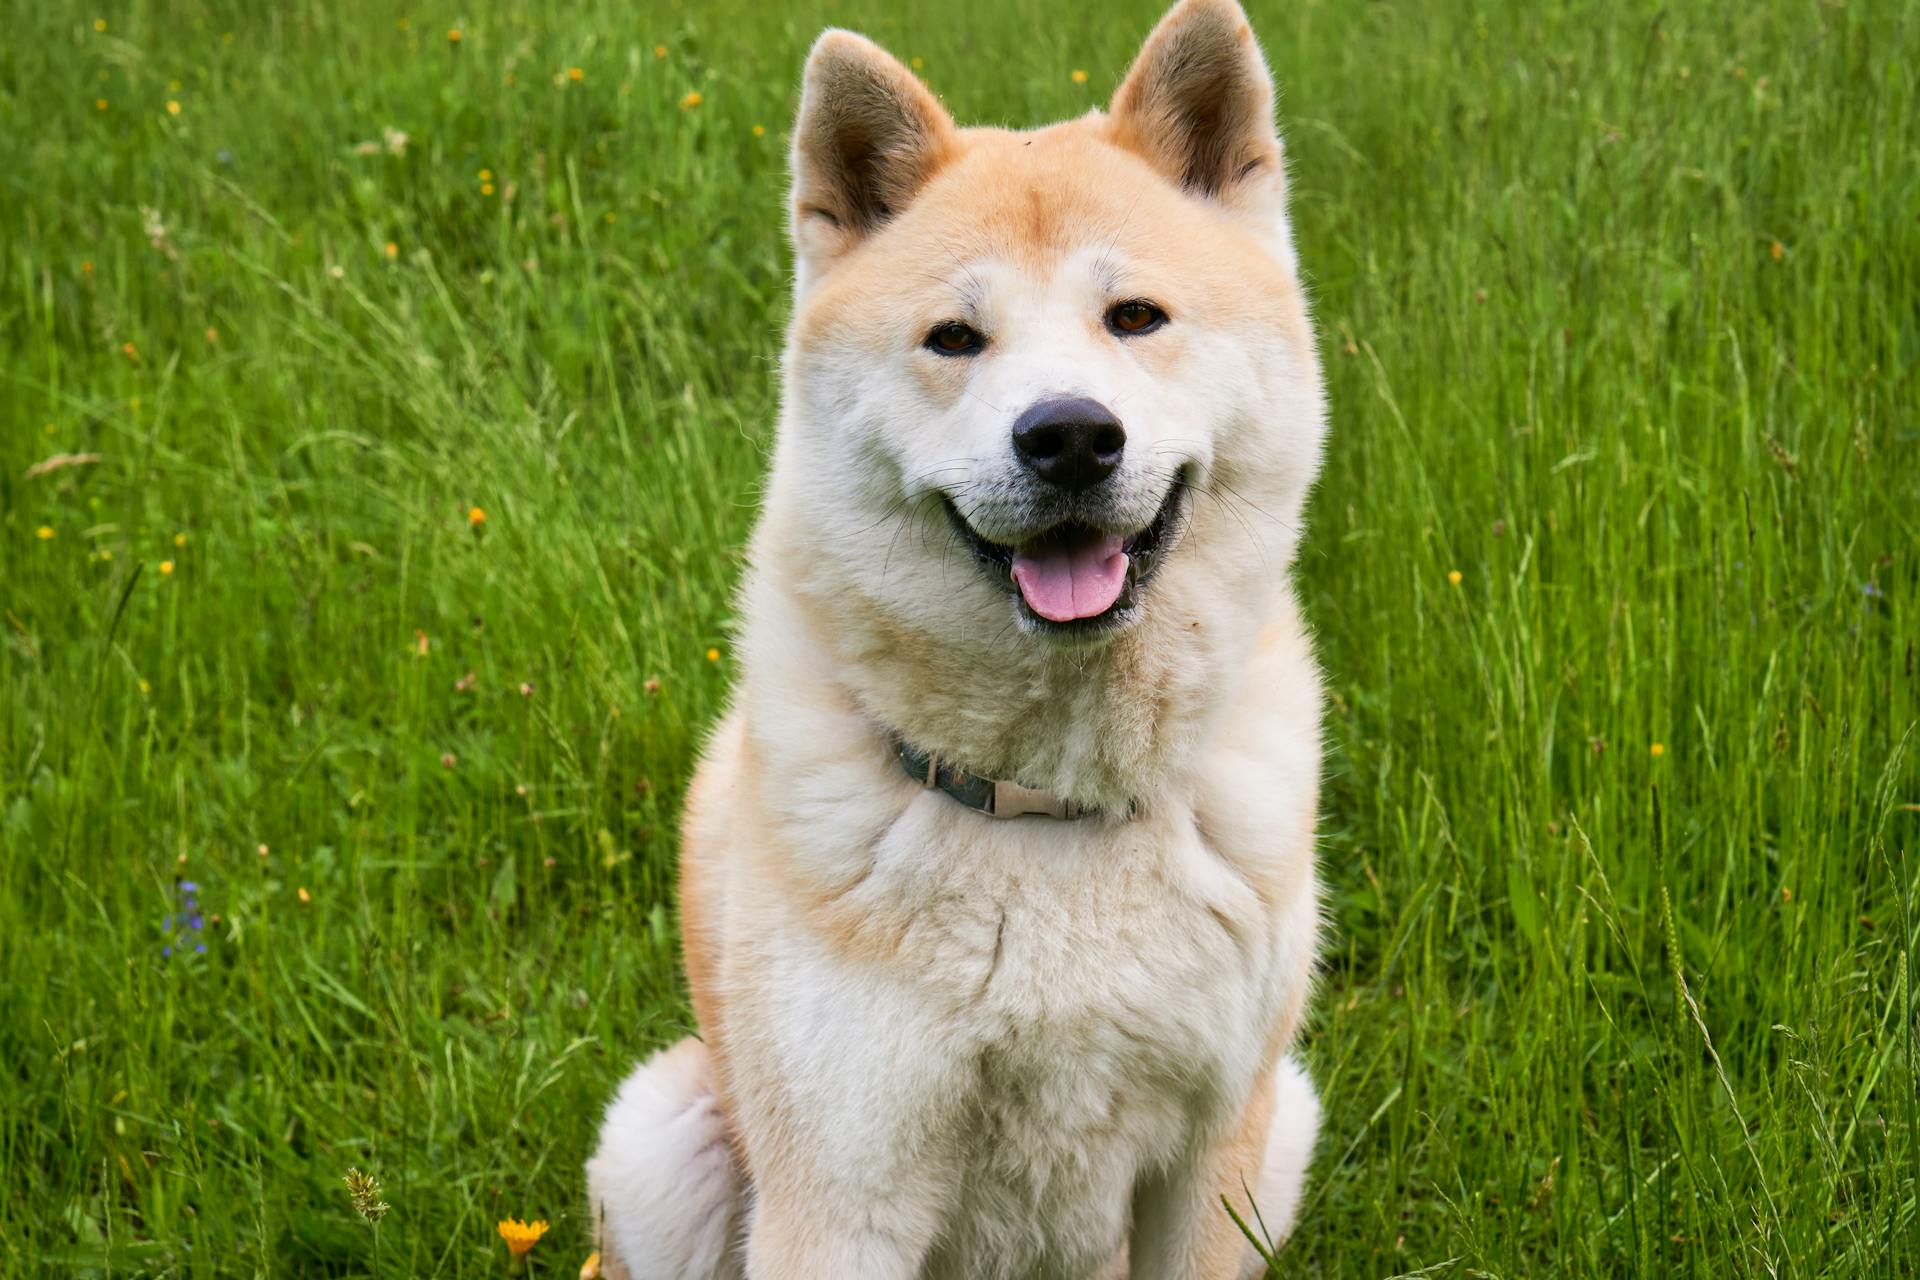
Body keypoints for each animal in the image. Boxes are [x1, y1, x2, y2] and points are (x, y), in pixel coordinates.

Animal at [587, 2, 1336, 1274]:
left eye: (1135, 317)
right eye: (953, 338)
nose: (1071, 435)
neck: (1048, 808)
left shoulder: (1210, 1165)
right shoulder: (843, 1195)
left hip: (1286, 1120)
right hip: (660, 1137)